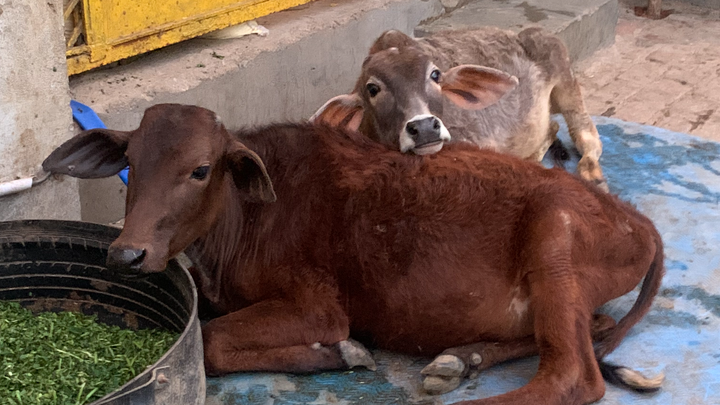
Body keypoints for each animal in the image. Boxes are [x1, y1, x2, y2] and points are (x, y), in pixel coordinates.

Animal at [43, 104, 664, 405]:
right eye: (130, 163)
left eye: (199, 169)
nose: (126, 255)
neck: (244, 218)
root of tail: (637, 219)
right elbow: (213, 335)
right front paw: (341, 355)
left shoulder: (319, 305)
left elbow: (213, 342)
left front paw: (341, 351)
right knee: (592, 327)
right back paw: (459, 360)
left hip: (554, 236)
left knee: (573, 376)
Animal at [311, 27, 608, 191]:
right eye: (372, 88)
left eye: (435, 75)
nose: (424, 127)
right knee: (553, 127)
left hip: (564, 77)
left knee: (586, 134)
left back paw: (592, 175)